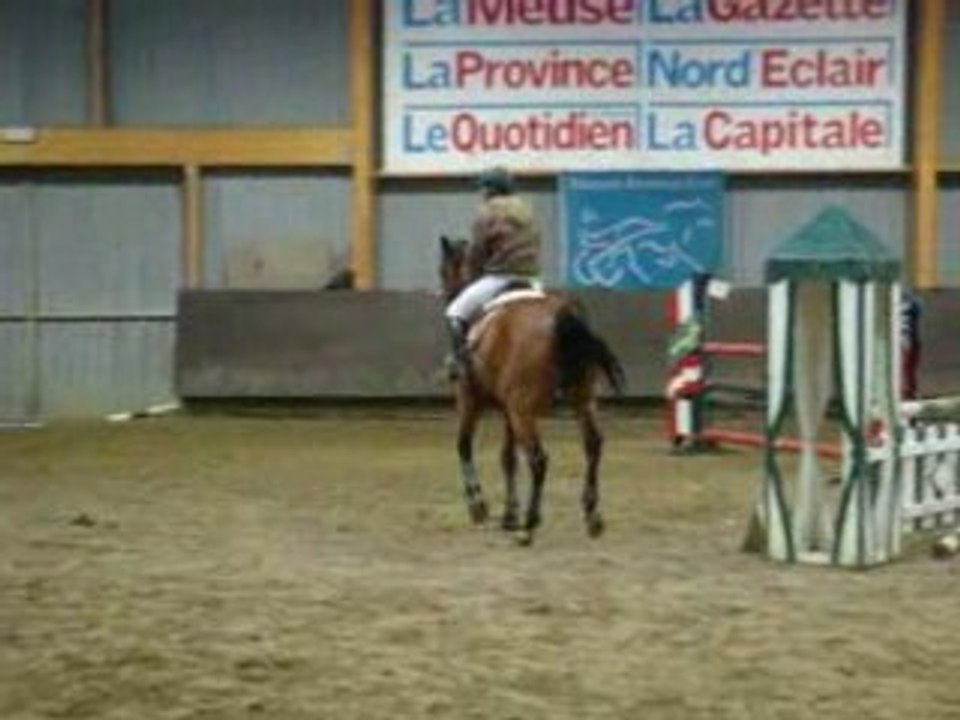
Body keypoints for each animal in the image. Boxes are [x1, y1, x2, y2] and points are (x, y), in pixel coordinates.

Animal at [438, 235, 625, 545]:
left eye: (444, 270)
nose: (446, 294)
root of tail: (563, 316)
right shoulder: (507, 411)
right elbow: (508, 458)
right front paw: (508, 515)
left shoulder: (469, 400)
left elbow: (463, 446)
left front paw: (479, 506)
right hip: (581, 401)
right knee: (593, 446)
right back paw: (592, 516)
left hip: (524, 411)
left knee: (539, 459)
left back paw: (529, 526)